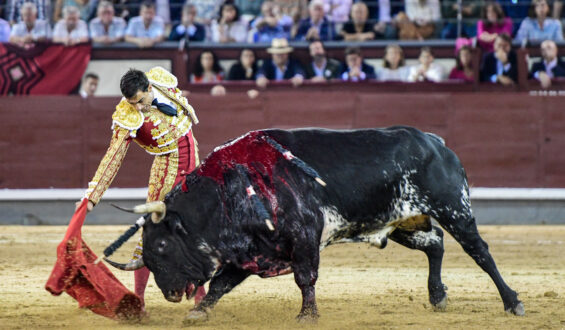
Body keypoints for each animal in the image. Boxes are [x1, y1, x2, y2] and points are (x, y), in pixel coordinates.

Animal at [130, 125, 524, 320]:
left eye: (162, 245)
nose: (168, 292)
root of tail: (435, 142)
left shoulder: (304, 235)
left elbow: (306, 278)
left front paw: (308, 315)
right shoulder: (253, 249)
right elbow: (220, 284)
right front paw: (198, 313)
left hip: (453, 207)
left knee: (479, 252)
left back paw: (511, 303)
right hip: (400, 223)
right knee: (436, 243)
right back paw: (438, 296)